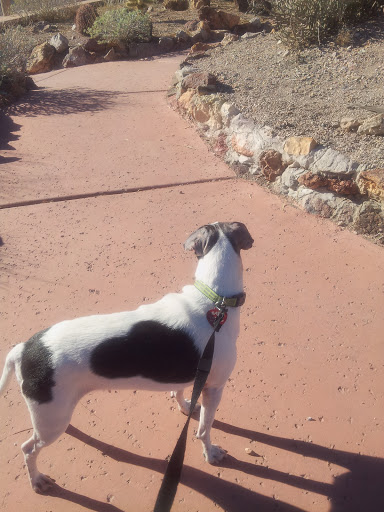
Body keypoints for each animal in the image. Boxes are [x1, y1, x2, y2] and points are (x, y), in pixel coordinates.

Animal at [0, 220, 254, 492]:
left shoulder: (195, 378)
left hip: (54, 412)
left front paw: (185, 406)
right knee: (28, 449)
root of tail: (24, 348)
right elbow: (205, 429)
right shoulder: (214, 388)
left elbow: (180, 392)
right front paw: (211, 453)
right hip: (50, 424)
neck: (215, 300)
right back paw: (37, 480)